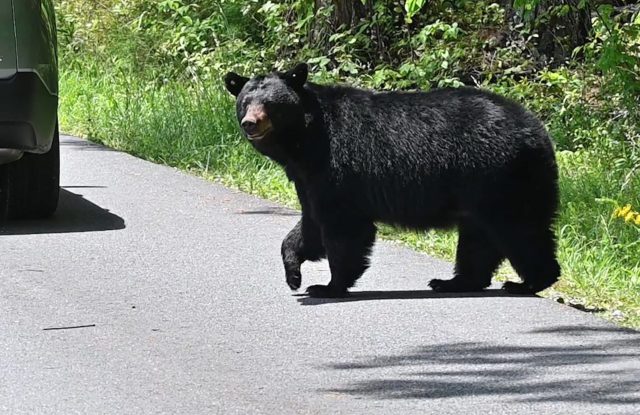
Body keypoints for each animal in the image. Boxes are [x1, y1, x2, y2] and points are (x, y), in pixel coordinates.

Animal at [224, 63, 560, 298]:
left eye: (271, 104)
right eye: (245, 101)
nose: (250, 123)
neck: (305, 143)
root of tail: (537, 130)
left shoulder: (337, 166)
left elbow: (343, 227)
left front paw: (329, 286)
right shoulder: (307, 178)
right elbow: (310, 224)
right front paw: (294, 274)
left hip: (500, 177)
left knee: (519, 229)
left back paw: (528, 282)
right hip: (480, 190)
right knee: (479, 238)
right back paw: (453, 281)